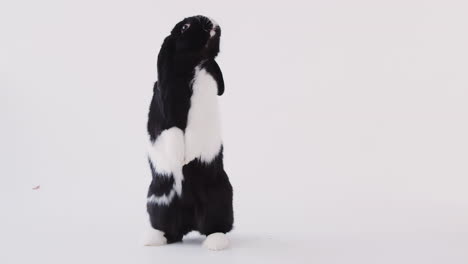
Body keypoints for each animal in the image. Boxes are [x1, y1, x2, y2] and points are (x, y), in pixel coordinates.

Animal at [141, 15, 232, 251]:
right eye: (185, 27)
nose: (211, 22)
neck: (191, 65)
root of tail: (189, 223)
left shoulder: (201, 109)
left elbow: (193, 136)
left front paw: (187, 158)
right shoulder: (167, 111)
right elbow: (172, 133)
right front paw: (179, 159)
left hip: (219, 198)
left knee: (215, 225)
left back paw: (215, 243)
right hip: (157, 201)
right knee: (168, 230)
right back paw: (152, 240)